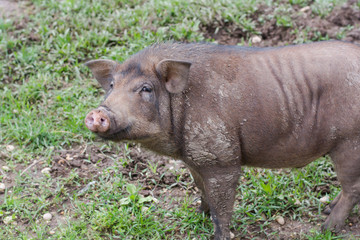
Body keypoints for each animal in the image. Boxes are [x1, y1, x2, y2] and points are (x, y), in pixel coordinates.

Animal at [85, 40, 360, 239]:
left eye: (146, 89)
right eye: (112, 85)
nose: (97, 113)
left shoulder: (222, 160)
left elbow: (222, 208)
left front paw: (217, 233)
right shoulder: (195, 158)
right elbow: (201, 189)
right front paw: (199, 214)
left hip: (349, 142)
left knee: (352, 189)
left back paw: (326, 228)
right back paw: (327, 210)